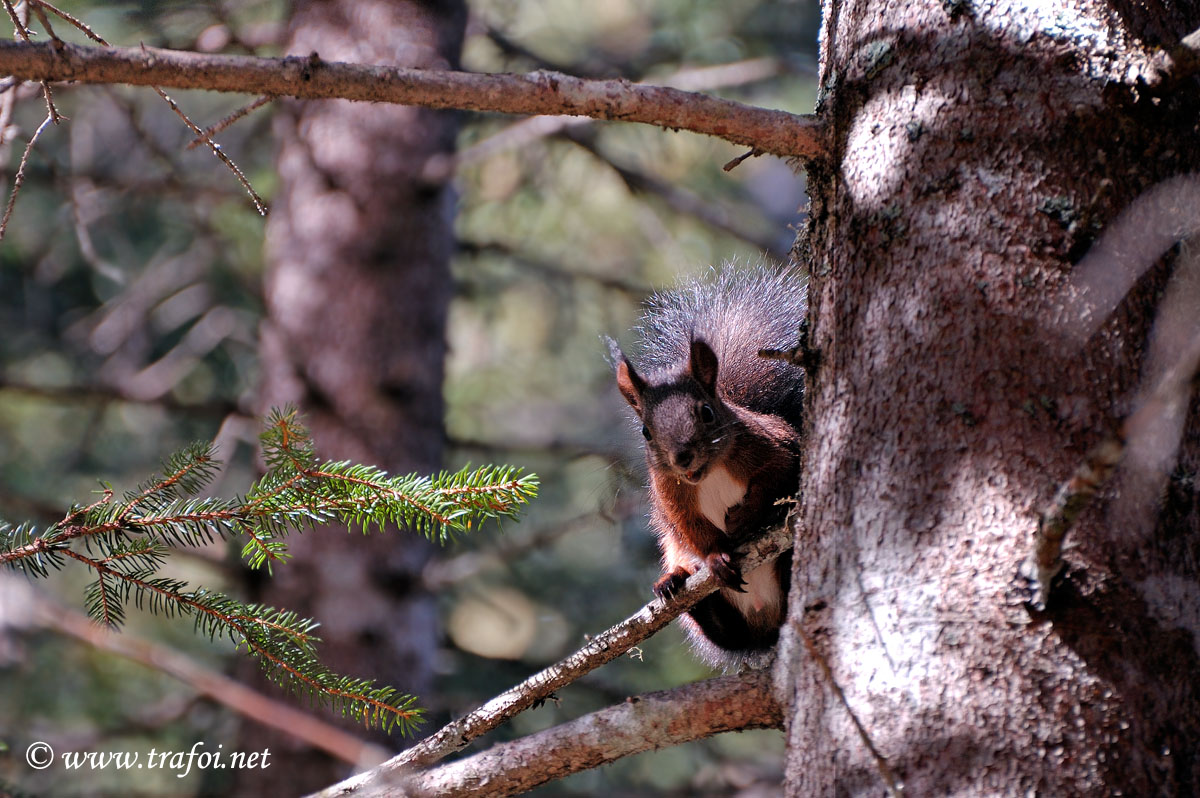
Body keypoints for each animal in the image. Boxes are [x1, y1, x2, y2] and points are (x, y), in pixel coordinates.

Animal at [607, 265, 806, 669]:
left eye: (707, 412)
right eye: (646, 431)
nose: (683, 457)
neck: (709, 475)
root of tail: (764, 620)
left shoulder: (775, 448)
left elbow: (774, 481)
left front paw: (744, 516)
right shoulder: (670, 495)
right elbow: (691, 528)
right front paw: (714, 557)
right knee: (723, 632)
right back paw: (674, 583)